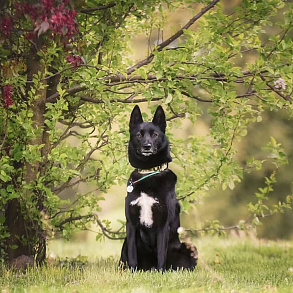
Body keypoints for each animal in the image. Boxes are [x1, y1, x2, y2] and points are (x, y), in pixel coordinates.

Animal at [120, 105, 197, 272]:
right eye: (138, 135)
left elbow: (161, 253)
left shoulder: (163, 225)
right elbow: (132, 254)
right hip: (124, 244)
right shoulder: (131, 225)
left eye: (155, 135)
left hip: (189, 248)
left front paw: (161, 272)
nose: (147, 146)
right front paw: (132, 272)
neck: (148, 172)